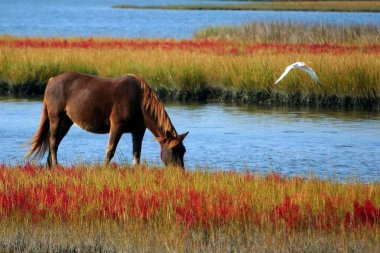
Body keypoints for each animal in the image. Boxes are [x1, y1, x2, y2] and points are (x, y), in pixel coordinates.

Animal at [25, 71, 189, 168]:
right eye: (173, 150)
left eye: (183, 151)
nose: (179, 172)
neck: (139, 101)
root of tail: (51, 80)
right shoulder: (117, 126)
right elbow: (110, 150)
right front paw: (105, 169)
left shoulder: (138, 130)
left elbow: (136, 154)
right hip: (56, 118)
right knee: (53, 143)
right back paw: (56, 166)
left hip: (66, 122)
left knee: (55, 143)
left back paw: (50, 166)